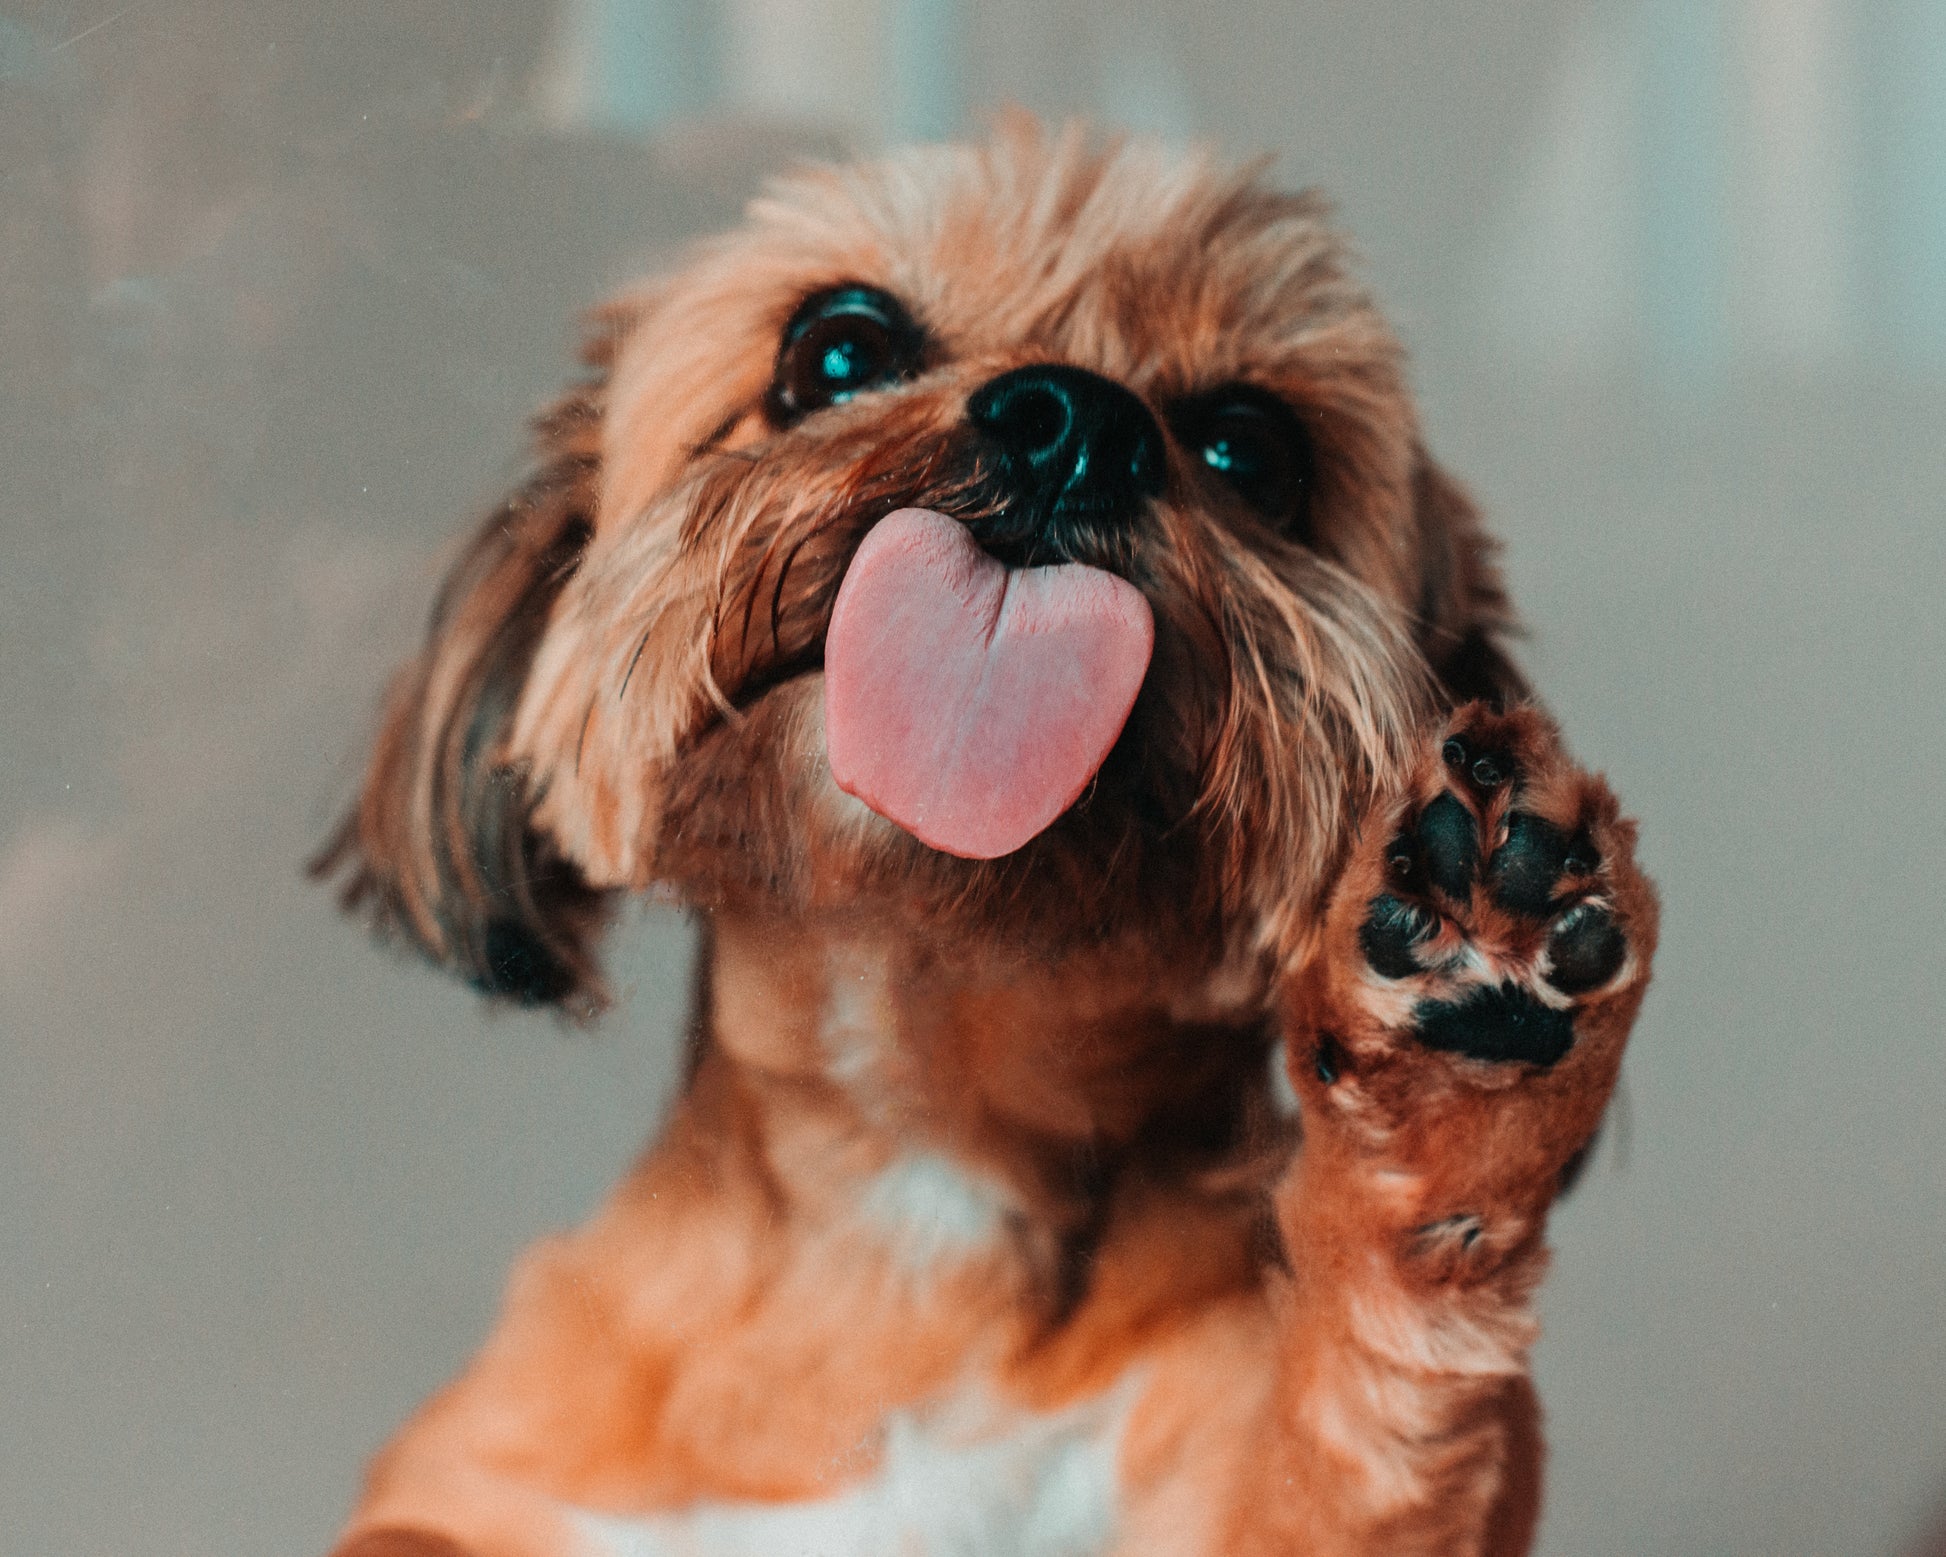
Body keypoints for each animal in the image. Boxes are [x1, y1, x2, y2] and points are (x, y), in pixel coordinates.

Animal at [319, 118, 1657, 1557]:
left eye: (1253, 450)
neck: (923, 1159)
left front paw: (1467, 1070)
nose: (1076, 419)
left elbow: (1356, 1422)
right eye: (835, 350)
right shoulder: (487, 1490)